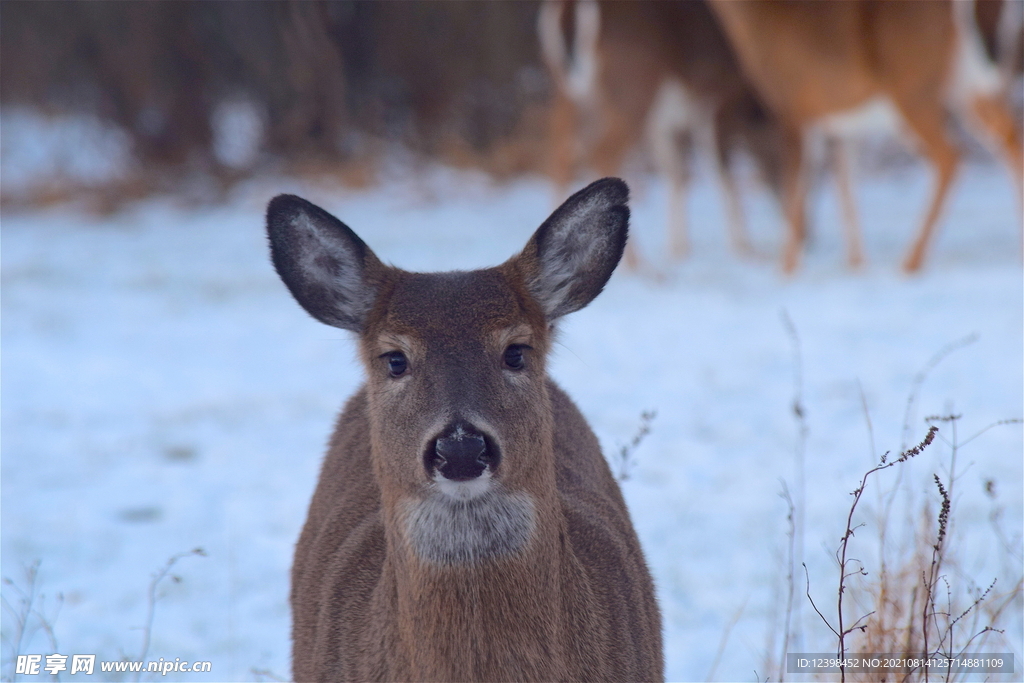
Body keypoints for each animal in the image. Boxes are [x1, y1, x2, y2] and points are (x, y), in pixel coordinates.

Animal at [540, 0, 794, 270]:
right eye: (781, 152)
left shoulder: (664, 123)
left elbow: (677, 173)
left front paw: (680, 249)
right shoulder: (717, 100)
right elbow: (719, 170)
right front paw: (746, 249)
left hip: (567, 91)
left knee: (559, 150)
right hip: (631, 87)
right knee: (600, 152)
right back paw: (637, 265)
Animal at [712, 0, 1024, 272]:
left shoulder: (794, 109)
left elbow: (797, 188)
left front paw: (786, 269)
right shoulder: (839, 124)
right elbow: (845, 185)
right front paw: (856, 263)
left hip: (913, 87)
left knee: (950, 155)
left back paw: (910, 261)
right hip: (969, 80)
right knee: (1009, 135)